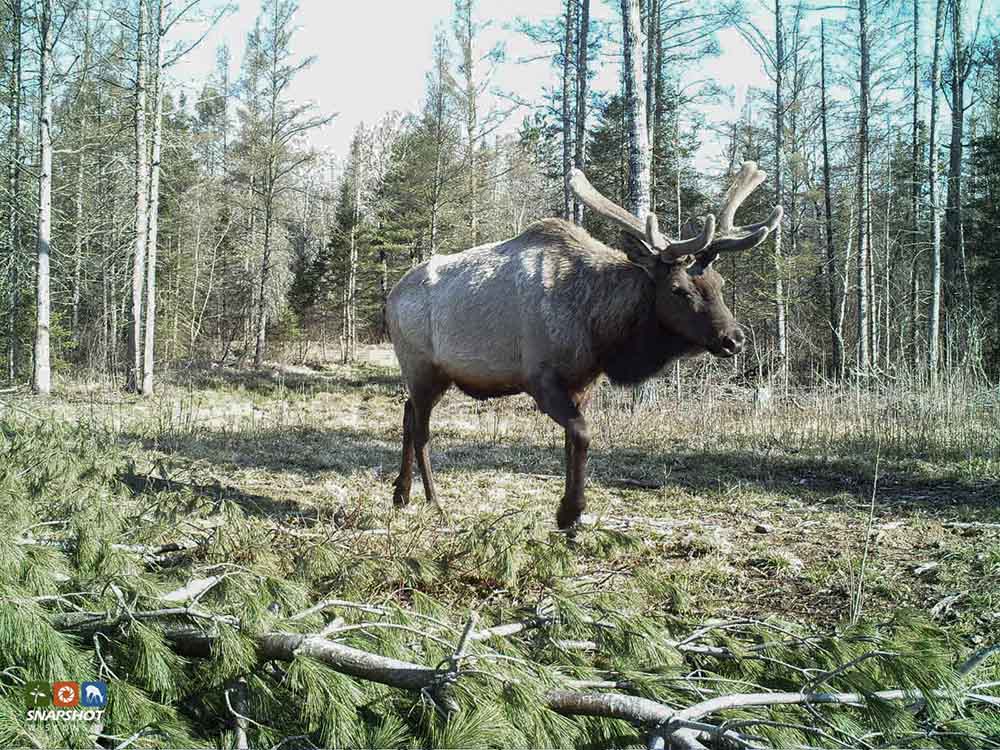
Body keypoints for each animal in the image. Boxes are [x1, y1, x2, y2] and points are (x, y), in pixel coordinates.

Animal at [386, 162, 781, 529]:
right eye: (678, 289)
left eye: (719, 282)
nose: (733, 339)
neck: (599, 332)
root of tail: (391, 296)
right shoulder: (541, 378)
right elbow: (582, 433)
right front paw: (569, 512)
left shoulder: (583, 383)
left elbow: (571, 441)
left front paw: (570, 513)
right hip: (421, 366)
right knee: (421, 431)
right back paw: (434, 502)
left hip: (434, 377)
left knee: (407, 415)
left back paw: (401, 493)